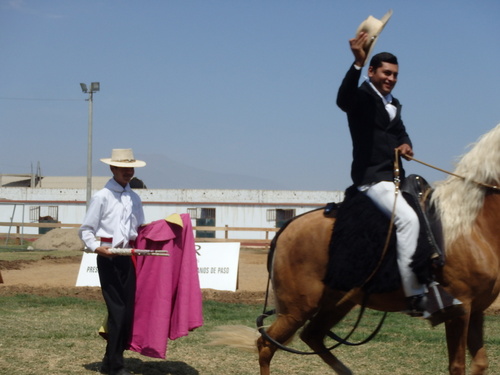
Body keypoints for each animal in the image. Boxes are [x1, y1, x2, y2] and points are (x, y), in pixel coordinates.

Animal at [256, 125, 500, 374]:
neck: (471, 226)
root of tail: (289, 227)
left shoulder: (476, 311)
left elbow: (480, 363)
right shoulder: (459, 310)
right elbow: (458, 366)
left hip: (337, 302)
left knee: (312, 335)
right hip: (297, 309)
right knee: (266, 344)